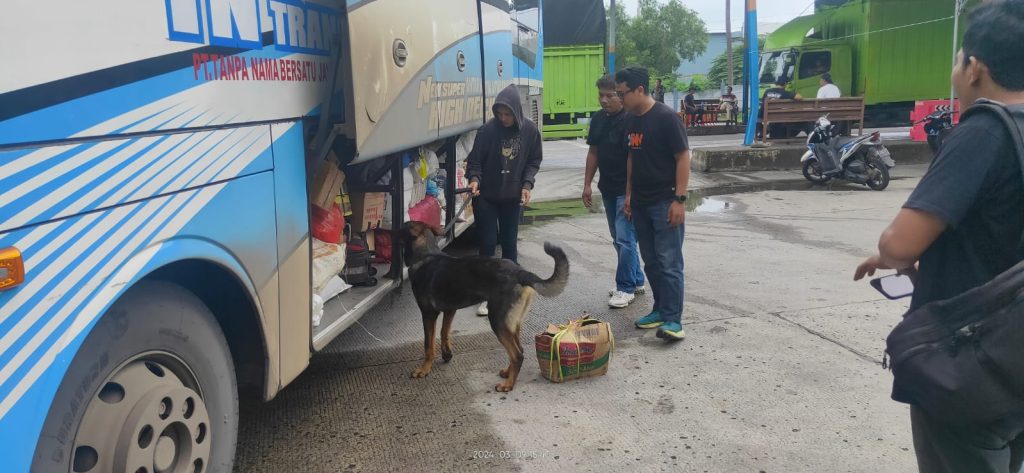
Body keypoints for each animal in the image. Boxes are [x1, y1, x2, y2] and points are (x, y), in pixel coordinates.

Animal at [399, 222, 573, 391]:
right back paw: (508, 373)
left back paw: (508, 385)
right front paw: (446, 354)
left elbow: (428, 345)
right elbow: (444, 333)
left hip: (498, 322)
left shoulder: (428, 314)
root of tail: (519, 272)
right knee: (519, 350)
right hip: (512, 324)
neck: (426, 255)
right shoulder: (450, 310)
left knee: (517, 354)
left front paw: (424, 369)